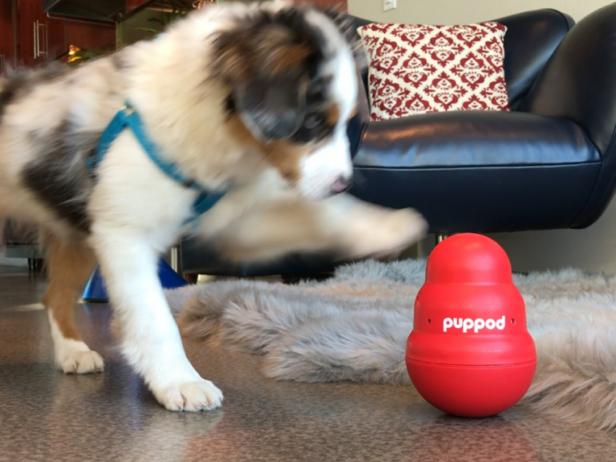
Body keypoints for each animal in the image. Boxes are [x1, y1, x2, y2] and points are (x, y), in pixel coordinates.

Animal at [0, 0, 424, 412]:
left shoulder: (236, 220)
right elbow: (155, 319)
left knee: (54, 297)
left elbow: (317, 219)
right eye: (313, 123)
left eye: (347, 123)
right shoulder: (125, 236)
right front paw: (179, 381)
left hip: (74, 232)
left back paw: (72, 352)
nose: (343, 183)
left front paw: (388, 227)